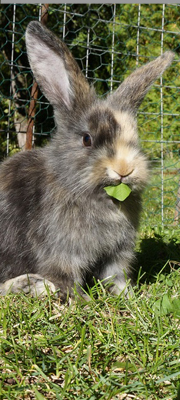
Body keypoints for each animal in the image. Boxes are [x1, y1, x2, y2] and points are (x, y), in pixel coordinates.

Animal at [0, 20, 174, 298]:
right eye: (87, 139)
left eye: (134, 138)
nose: (124, 169)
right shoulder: (62, 252)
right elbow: (66, 277)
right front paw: (81, 301)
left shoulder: (117, 254)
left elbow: (116, 277)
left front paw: (128, 296)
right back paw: (32, 285)